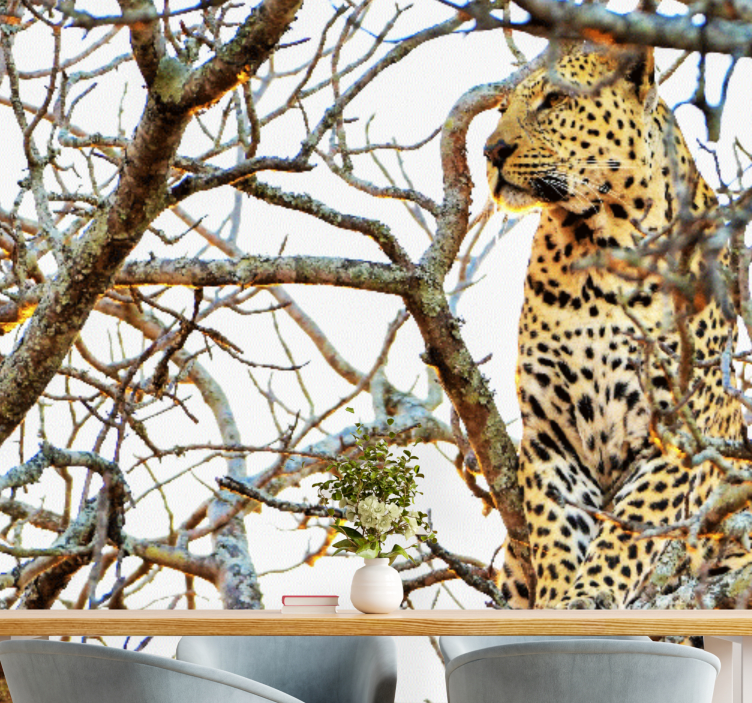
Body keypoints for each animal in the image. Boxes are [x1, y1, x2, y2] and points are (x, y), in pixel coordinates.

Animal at [484, 43, 749, 610]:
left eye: (554, 100)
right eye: (502, 108)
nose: (491, 150)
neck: (596, 243)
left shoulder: (674, 434)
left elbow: (628, 527)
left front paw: (592, 594)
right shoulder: (552, 436)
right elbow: (557, 530)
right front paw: (557, 602)